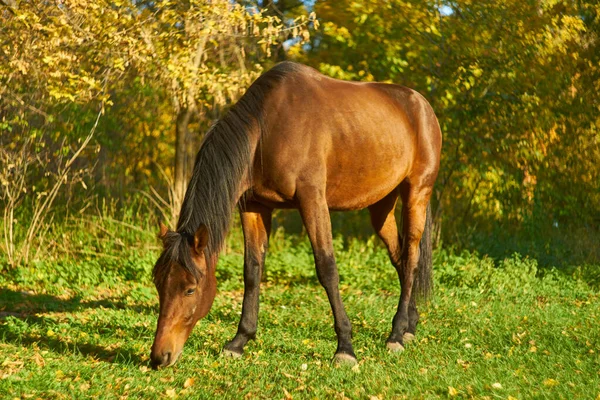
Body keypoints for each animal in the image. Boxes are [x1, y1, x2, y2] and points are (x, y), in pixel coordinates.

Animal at [150, 61, 440, 368]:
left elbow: (327, 269)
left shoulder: (312, 200)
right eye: (158, 284)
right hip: (381, 207)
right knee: (399, 258)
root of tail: (421, 104)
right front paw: (240, 340)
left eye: (190, 289)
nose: (160, 356)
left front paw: (345, 348)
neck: (265, 131)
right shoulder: (254, 206)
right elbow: (252, 270)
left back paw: (396, 334)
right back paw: (409, 325)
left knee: (411, 258)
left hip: (417, 194)